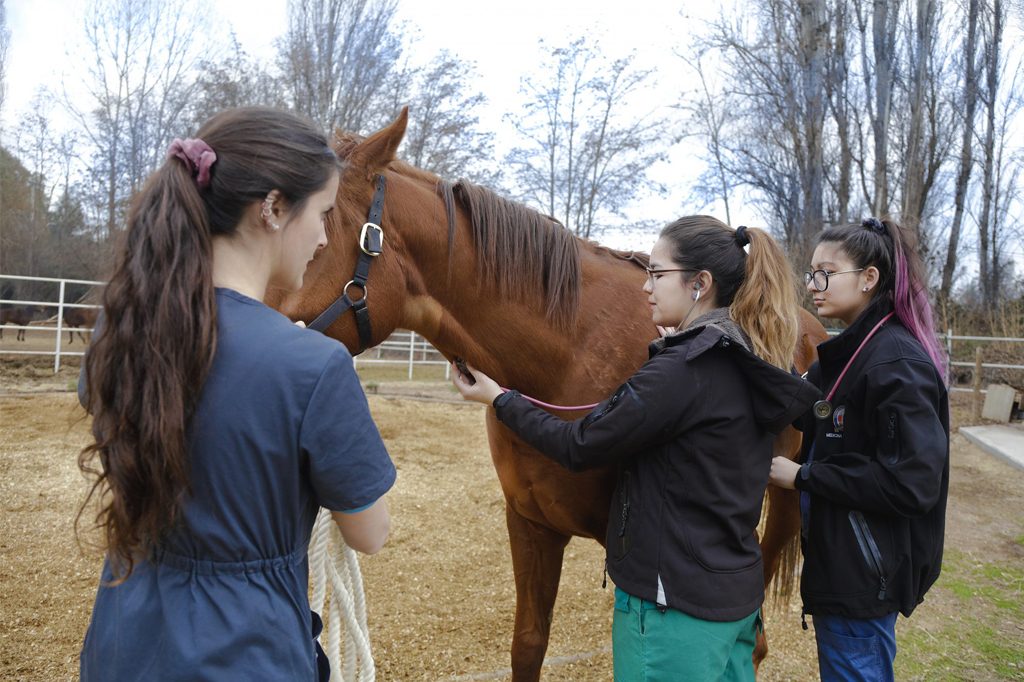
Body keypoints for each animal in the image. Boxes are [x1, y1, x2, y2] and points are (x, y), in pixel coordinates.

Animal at [268, 109, 827, 675]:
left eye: (312, 235)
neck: (568, 356)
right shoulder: (531, 525)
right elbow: (529, 645)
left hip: (781, 505)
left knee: (754, 636)